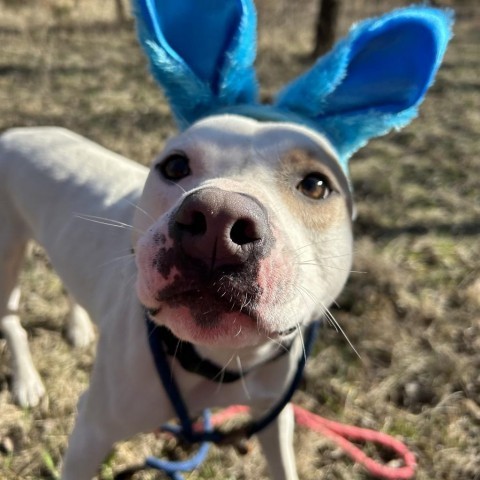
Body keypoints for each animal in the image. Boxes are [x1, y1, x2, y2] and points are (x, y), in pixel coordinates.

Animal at [0, 1, 452, 478]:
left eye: (316, 185)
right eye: (175, 166)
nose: (217, 220)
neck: (220, 362)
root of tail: (19, 132)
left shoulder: (275, 417)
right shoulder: (91, 430)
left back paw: (78, 328)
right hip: (7, 253)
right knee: (11, 319)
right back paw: (27, 382)